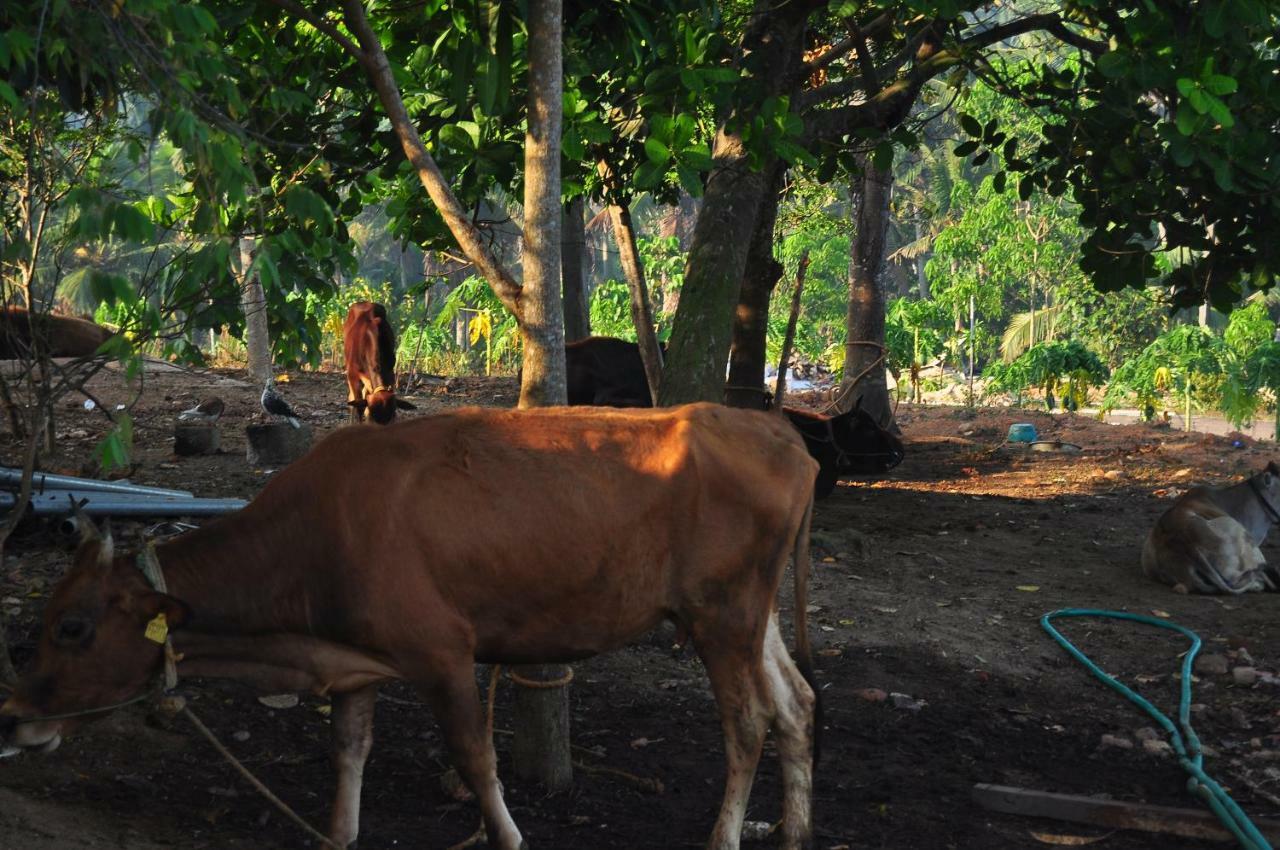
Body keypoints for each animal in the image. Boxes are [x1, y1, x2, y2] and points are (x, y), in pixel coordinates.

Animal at [0, 404, 819, 850]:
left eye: (71, 628)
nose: (13, 716)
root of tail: (777, 432)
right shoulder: (356, 662)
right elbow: (348, 750)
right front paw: (339, 833)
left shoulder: (443, 652)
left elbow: (476, 760)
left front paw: (510, 834)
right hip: (756, 616)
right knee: (795, 703)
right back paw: (796, 826)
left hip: (721, 614)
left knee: (748, 721)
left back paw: (724, 833)